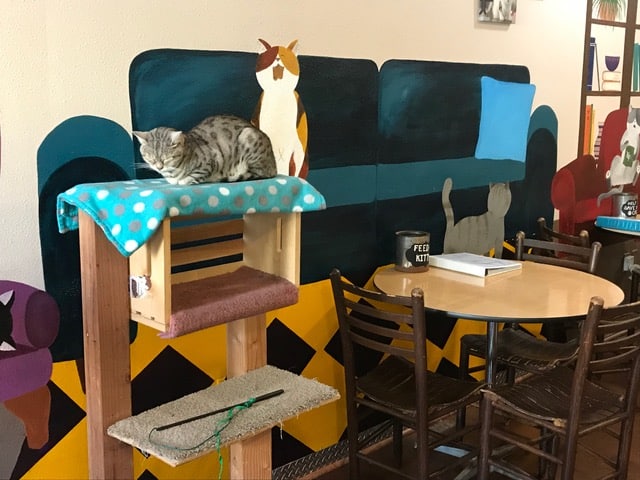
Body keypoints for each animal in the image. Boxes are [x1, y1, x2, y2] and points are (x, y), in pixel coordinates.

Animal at [134, 114, 276, 186]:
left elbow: (193, 176)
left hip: (249, 139)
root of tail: (274, 166)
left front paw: (184, 180)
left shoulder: (212, 161)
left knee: (257, 173)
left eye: (167, 158)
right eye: (150, 158)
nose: (159, 167)